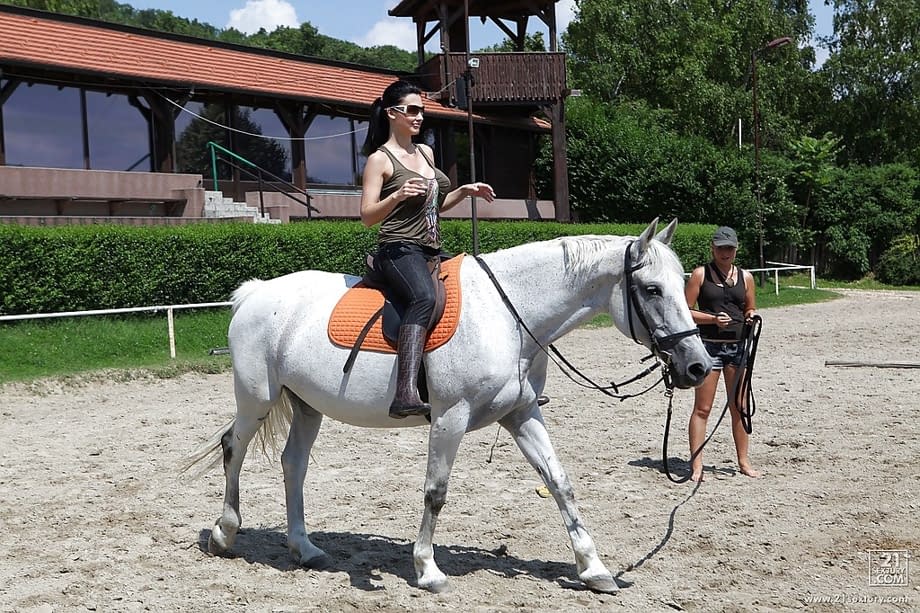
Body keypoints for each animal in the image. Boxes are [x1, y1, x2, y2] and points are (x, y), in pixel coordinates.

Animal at [185, 217, 712, 594]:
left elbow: (559, 483)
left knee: (293, 464)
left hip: (307, 406)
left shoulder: (522, 414)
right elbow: (435, 492)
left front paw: (593, 567)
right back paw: (224, 534)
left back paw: (304, 548)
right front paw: (427, 569)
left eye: (680, 284)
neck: (508, 315)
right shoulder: (450, 418)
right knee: (233, 448)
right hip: (257, 399)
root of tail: (256, 292)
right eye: (652, 290)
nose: (698, 366)